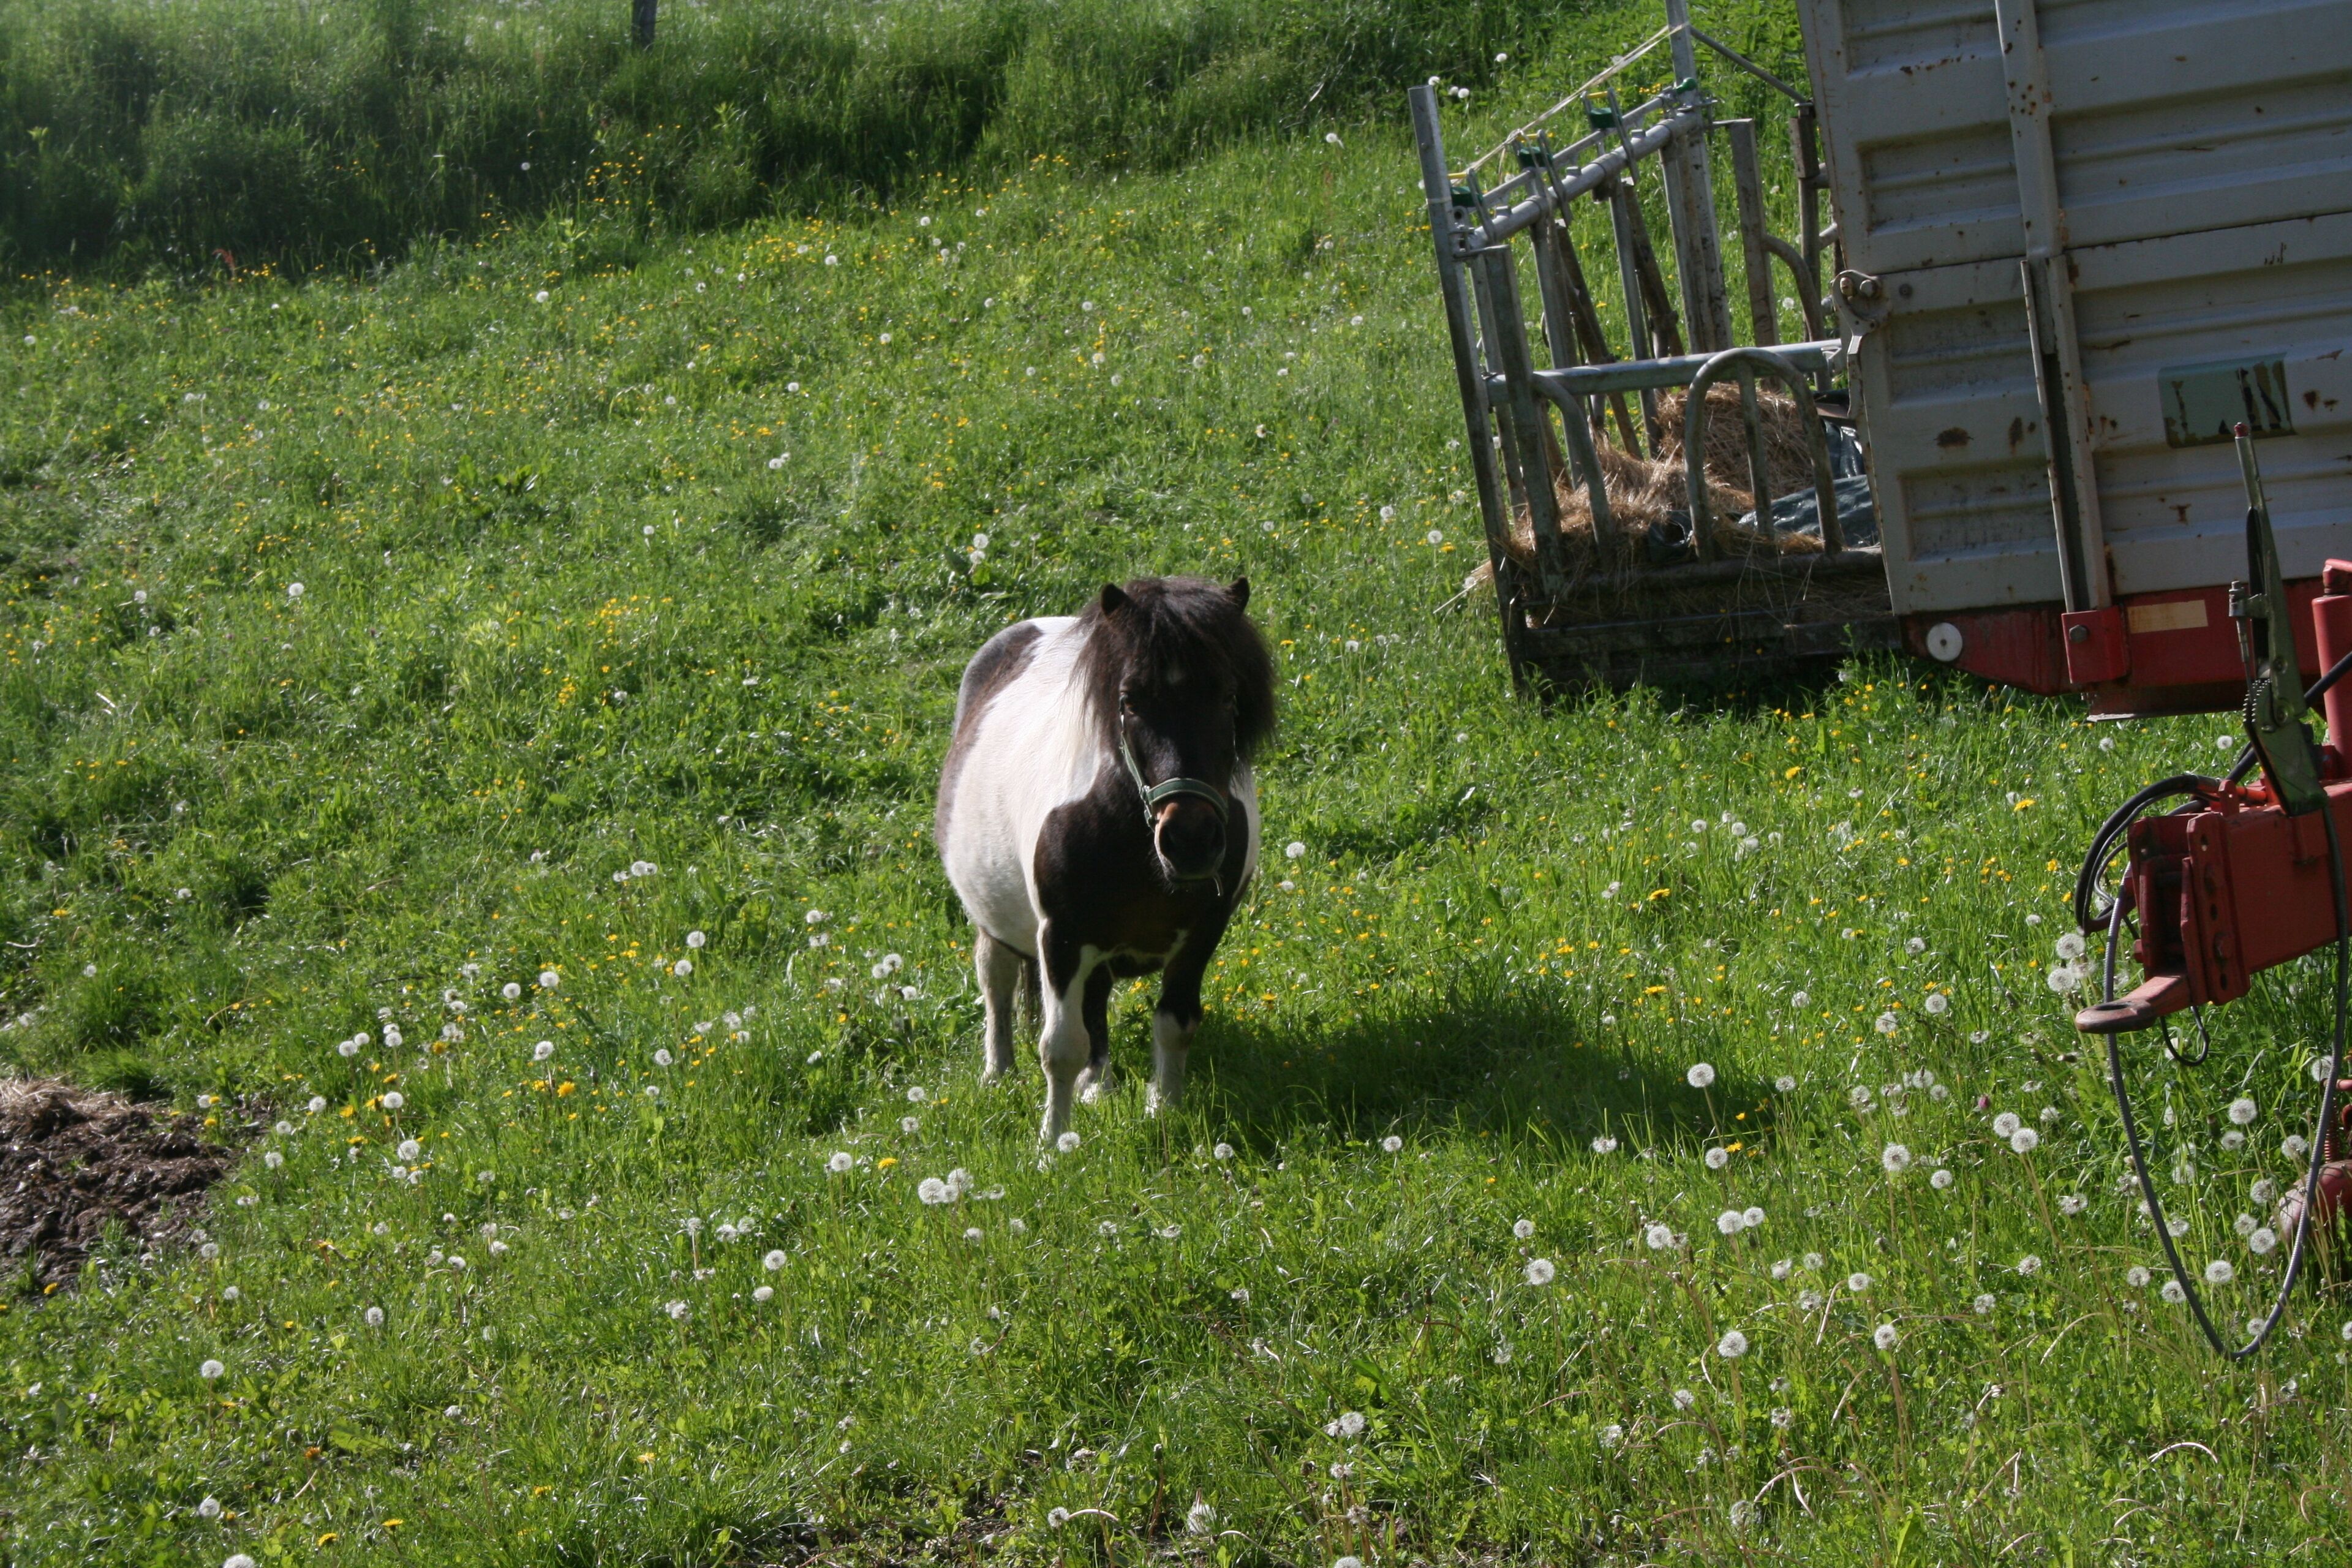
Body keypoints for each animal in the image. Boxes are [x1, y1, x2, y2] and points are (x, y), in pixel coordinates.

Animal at [935, 576, 1276, 1141]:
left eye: (1228, 695)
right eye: (1130, 700)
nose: (1191, 840)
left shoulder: (1201, 934)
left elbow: (1175, 1024)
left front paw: (1165, 1111)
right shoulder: (1062, 937)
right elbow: (1058, 1048)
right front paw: (1054, 1142)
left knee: (1094, 1002)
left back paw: (1099, 1084)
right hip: (997, 920)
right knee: (996, 979)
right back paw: (999, 1072)